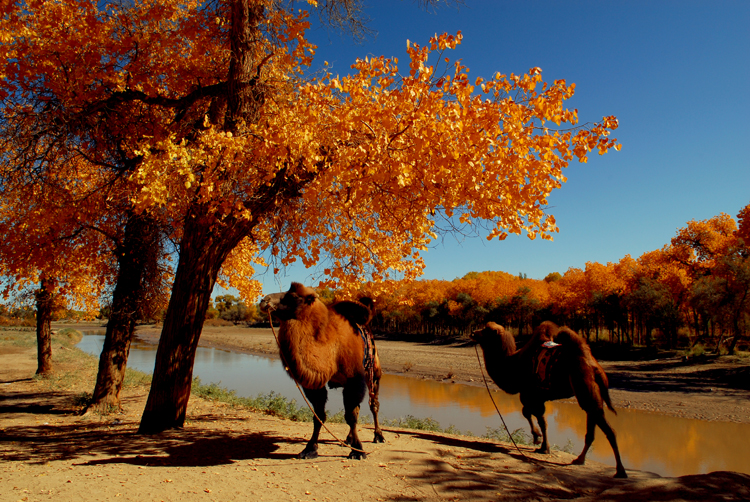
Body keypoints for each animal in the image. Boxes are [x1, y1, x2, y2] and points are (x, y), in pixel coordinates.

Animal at [260, 282, 388, 458]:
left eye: (293, 296)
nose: (264, 300)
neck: (332, 346)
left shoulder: (355, 379)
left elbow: (351, 416)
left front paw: (358, 451)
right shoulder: (315, 384)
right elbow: (319, 416)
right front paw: (310, 448)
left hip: (374, 375)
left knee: (373, 404)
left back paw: (378, 436)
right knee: (358, 407)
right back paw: (348, 439)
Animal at [476, 322, 628, 478]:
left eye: (485, 330)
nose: (473, 332)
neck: (513, 365)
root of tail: (595, 368)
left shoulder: (529, 394)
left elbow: (531, 415)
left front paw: (539, 440)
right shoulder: (538, 396)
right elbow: (541, 419)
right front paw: (542, 445)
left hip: (585, 389)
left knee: (609, 430)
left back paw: (620, 470)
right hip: (592, 396)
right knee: (591, 427)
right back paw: (579, 459)